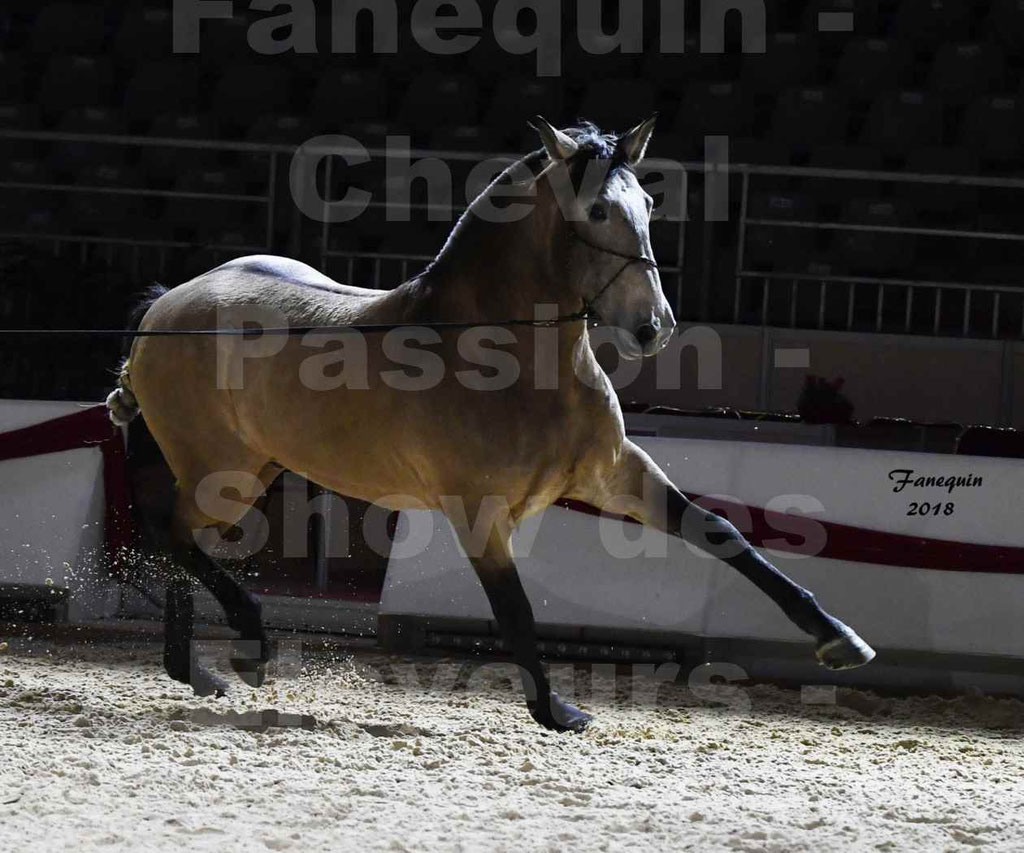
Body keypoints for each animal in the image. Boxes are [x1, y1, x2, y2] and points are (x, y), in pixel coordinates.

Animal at [106, 117, 875, 732]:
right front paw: (558, 711)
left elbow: (718, 531)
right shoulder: (477, 511)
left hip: (247, 470)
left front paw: (840, 640)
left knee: (179, 537)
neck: (513, 361)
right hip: (224, 470)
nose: (652, 327)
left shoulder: (616, 473)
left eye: (649, 203)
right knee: (170, 532)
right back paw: (251, 643)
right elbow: (514, 608)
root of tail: (165, 306)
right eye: (598, 208)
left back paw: (202, 671)